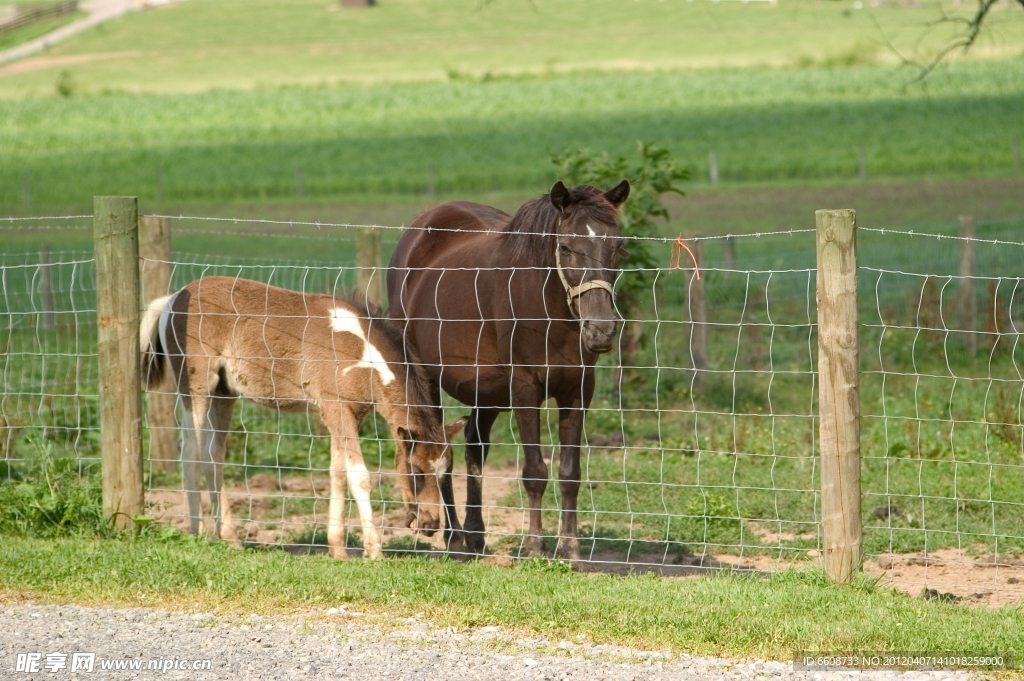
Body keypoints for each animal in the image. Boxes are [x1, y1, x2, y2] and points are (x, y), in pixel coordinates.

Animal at [141, 276, 468, 557]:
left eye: (445, 472)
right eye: (415, 471)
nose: (430, 525)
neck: (361, 353)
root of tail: (173, 297)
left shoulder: (348, 414)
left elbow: (338, 473)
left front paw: (337, 548)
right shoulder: (335, 408)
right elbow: (359, 476)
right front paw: (373, 549)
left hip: (224, 393)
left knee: (213, 455)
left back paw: (230, 538)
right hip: (196, 386)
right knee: (191, 452)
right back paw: (196, 532)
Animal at [385, 179, 626, 557]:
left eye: (617, 246)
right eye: (566, 247)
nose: (601, 330)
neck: (548, 310)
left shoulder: (577, 391)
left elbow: (570, 473)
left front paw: (570, 549)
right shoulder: (525, 389)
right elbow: (535, 472)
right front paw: (534, 547)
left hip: (486, 391)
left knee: (474, 447)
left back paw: (475, 535)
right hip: (425, 376)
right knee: (440, 452)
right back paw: (454, 538)